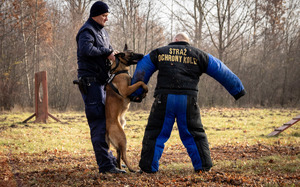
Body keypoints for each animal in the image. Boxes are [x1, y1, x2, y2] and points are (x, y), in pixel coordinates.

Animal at [105, 44, 148, 172]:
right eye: (132, 54)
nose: (142, 55)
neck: (119, 70)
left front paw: (142, 95)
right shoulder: (126, 90)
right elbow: (140, 82)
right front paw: (145, 89)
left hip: (118, 143)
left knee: (118, 156)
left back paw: (120, 169)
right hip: (122, 138)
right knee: (123, 155)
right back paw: (133, 169)